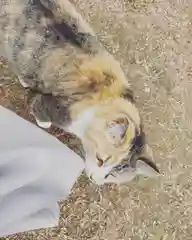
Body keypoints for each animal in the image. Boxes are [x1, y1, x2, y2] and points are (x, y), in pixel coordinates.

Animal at [0, 0, 160, 184]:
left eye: (112, 175)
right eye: (100, 159)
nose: (95, 180)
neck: (108, 98)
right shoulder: (55, 106)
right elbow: (41, 112)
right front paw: (43, 123)